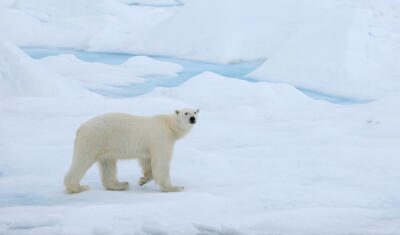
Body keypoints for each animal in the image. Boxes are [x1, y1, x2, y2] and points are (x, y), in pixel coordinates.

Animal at [63, 108, 198, 193]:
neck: (169, 125)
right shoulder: (161, 138)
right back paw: (79, 187)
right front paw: (175, 187)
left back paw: (121, 184)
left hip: (106, 144)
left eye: (195, 112)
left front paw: (142, 180)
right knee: (82, 160)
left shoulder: (148, 146)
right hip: (94, 139)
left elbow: (146, 160)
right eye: (186, 113)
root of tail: (81, 127)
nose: (193, 118)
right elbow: (161, 162)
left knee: (108, 164)